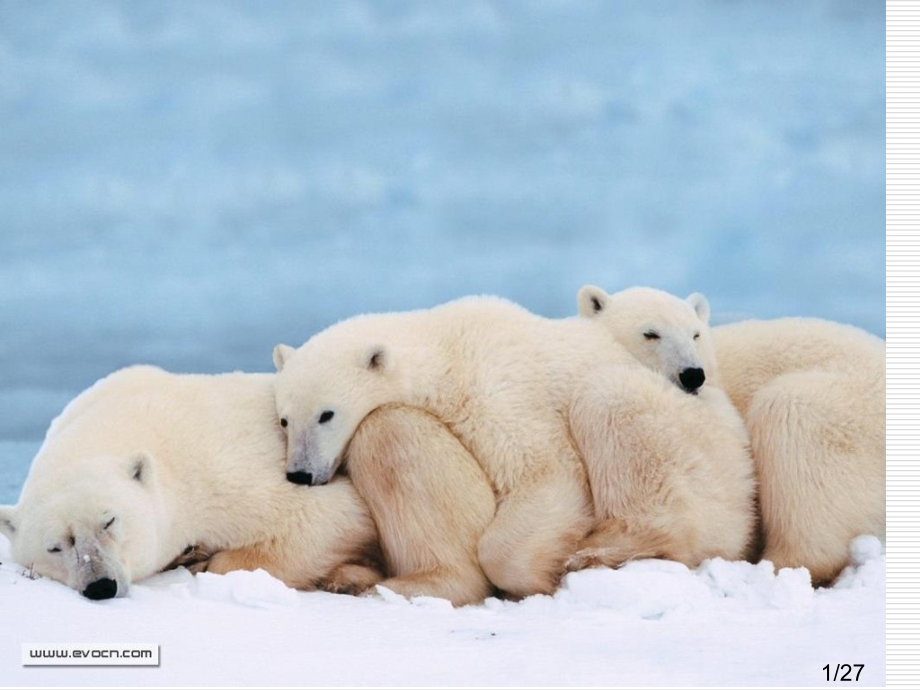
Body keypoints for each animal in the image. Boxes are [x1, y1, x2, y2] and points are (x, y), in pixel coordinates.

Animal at [0, 366, 388, 596]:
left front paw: (203, 559)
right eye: (54, 547)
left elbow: (332, 514)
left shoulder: (226, 472)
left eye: (108, 521)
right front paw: (190, 554)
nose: (100, 585)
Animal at [272, 296, 756, 596]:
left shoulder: (497, 390)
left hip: (695, 446)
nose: (300, 473)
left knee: (609, 399)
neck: (447, 347)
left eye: (326, 414)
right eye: (285, 419)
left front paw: (538, 575)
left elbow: (546, 472)